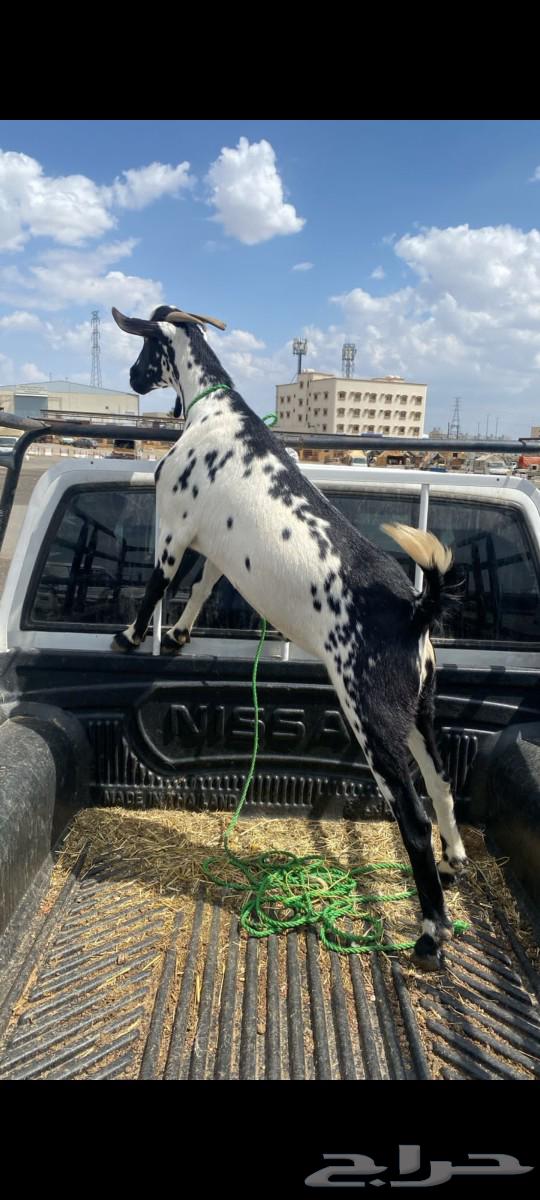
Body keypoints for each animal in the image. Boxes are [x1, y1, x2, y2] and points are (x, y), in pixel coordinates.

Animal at [110, 303, 468, 969]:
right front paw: (178, 636)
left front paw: (130, 637)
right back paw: (457, 859)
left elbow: (157, 587)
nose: (130, 378)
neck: (217, 411)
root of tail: (415, 611)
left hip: (372, 719)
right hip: (419, 711)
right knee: (442, 783)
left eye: (144, 350)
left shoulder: (173, 528)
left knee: (413, 819)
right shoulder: (216, 551)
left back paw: (431, 936)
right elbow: (200, 588)